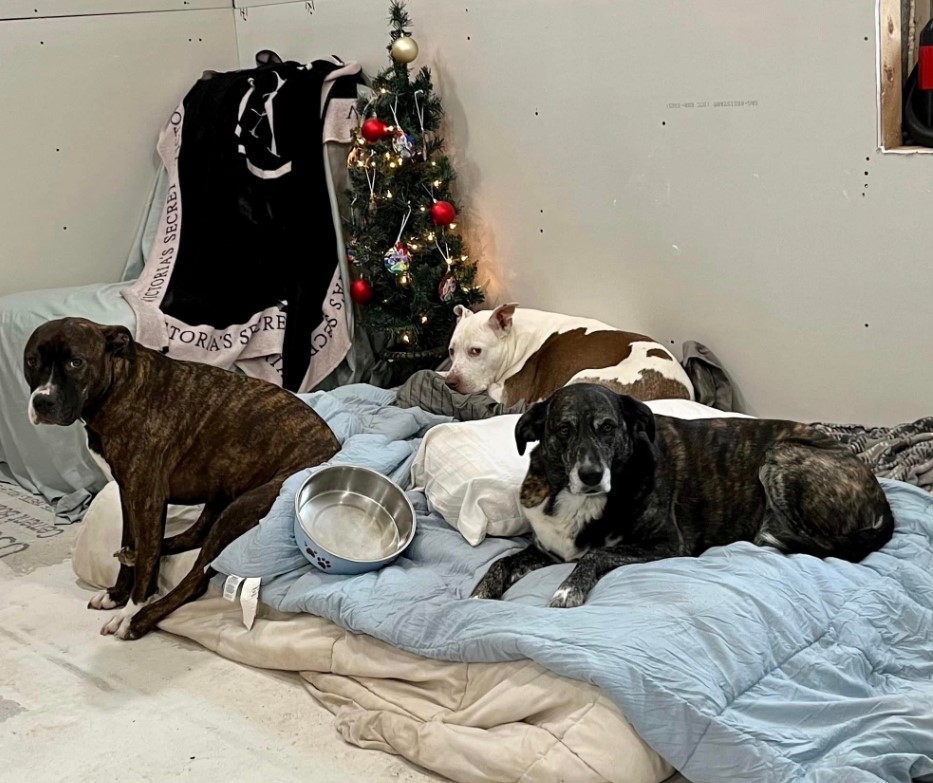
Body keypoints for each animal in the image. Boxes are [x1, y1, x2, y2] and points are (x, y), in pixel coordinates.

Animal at [23, 316, 338, 640]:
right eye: (32, 361)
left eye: (76, 362)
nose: (43, 402)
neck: (118, 388)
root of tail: (333, 443)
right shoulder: (129, 494)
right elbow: (134, 543)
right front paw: (117, 594)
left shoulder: (147, 498)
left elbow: (147, 560)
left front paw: (130, 609)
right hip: (220, 494)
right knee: (190, 536)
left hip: (242, 507)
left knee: (195, 577)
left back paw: (140, 619)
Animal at [474, 382, 896, 608]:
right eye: (563, 430)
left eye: (608, 428)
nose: (591, 475)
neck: (578, 498)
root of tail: (879, 495)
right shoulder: (548, 548)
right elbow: (501, 562)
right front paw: (479, 596)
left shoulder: (667, 544)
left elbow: (597, 553)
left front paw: (567, 589)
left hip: (781, 456)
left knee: (810, 540)